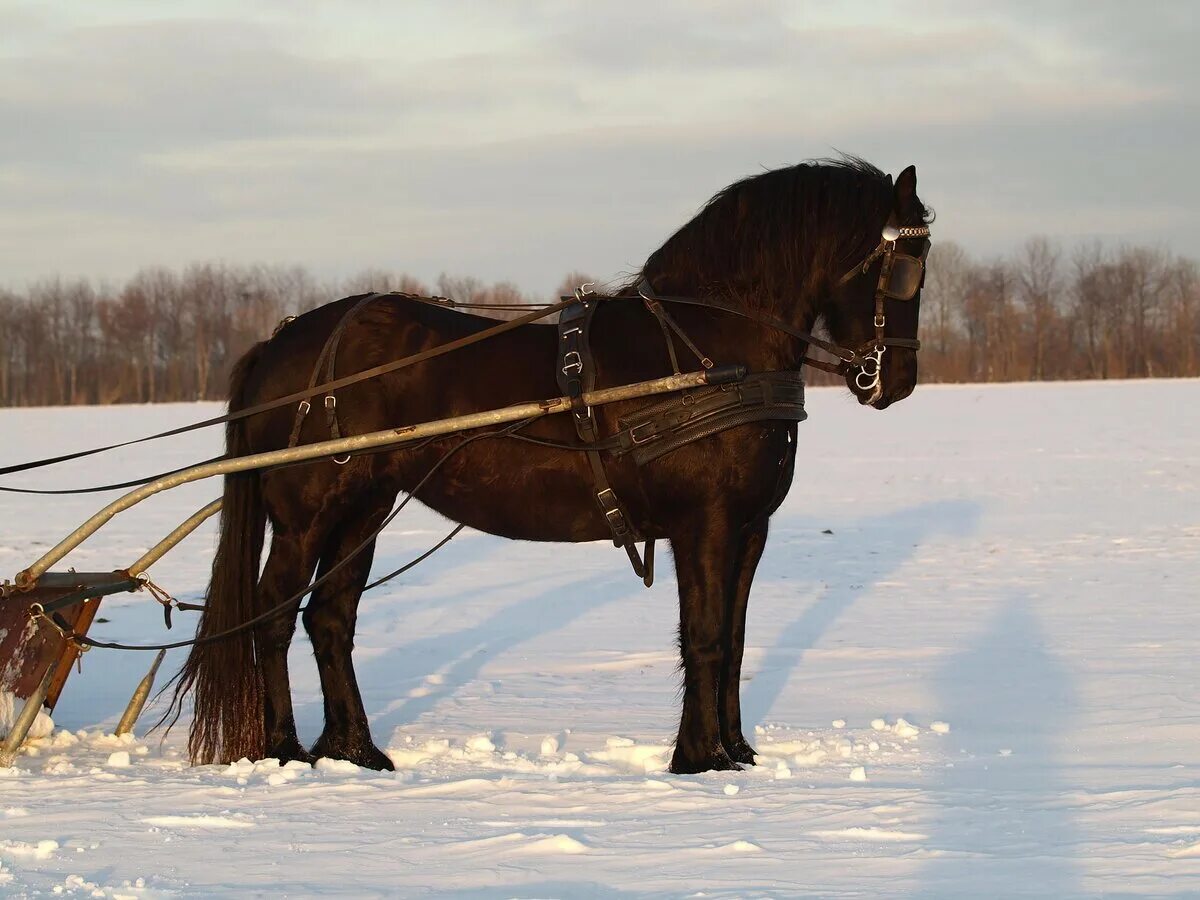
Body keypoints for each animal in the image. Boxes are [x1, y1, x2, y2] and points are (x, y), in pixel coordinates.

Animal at [174, 154, 931, 777]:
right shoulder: (704, 524)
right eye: (902, 266)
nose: (895, 382)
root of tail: (282, 341)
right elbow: (707, 637)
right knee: (273, 616)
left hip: (363, 510)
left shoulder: (749, 528)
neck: (713, 348)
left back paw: (355, 751)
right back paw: (284, 749)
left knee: (330, 619)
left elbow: (737, 640)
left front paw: (737, 752)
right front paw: (699, 759)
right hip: (307, 518)